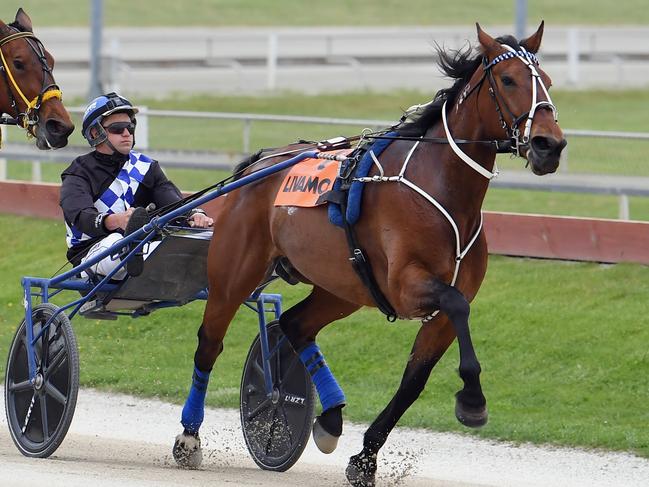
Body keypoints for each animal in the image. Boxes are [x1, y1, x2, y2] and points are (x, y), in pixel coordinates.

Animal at [175, 21, 564, 484]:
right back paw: (189, 437)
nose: (549, 145)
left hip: (341, 287)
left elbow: (414, 381)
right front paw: (472, 401)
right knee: (209, 345)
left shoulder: (437, 312)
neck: (443, 188)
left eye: (549, 82)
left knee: (295, 325)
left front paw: (365, 458)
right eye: (508, 80)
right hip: (234, 274)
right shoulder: (407, 285)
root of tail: (258, 165)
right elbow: (456, 306)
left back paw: (330, 417)